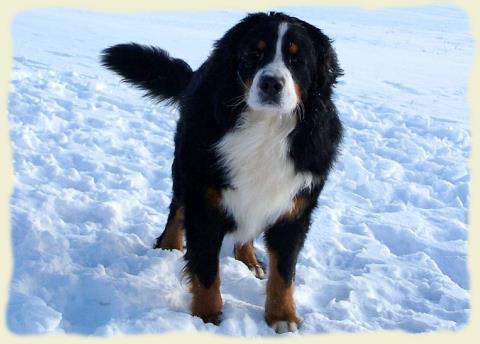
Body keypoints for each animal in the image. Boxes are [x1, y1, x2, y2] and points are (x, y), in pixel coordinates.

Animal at [101, 11, 344, 334]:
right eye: (254, 53)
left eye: (297, 59)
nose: (271, 83)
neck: (265, 130)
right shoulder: (204, 200)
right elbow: (206, 271)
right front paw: (207, 317)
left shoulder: (294, 209)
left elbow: (284, 272)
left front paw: (282, 317)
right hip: (185, 169)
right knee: (177, 210)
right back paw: (168, 248)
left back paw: (249, 260)